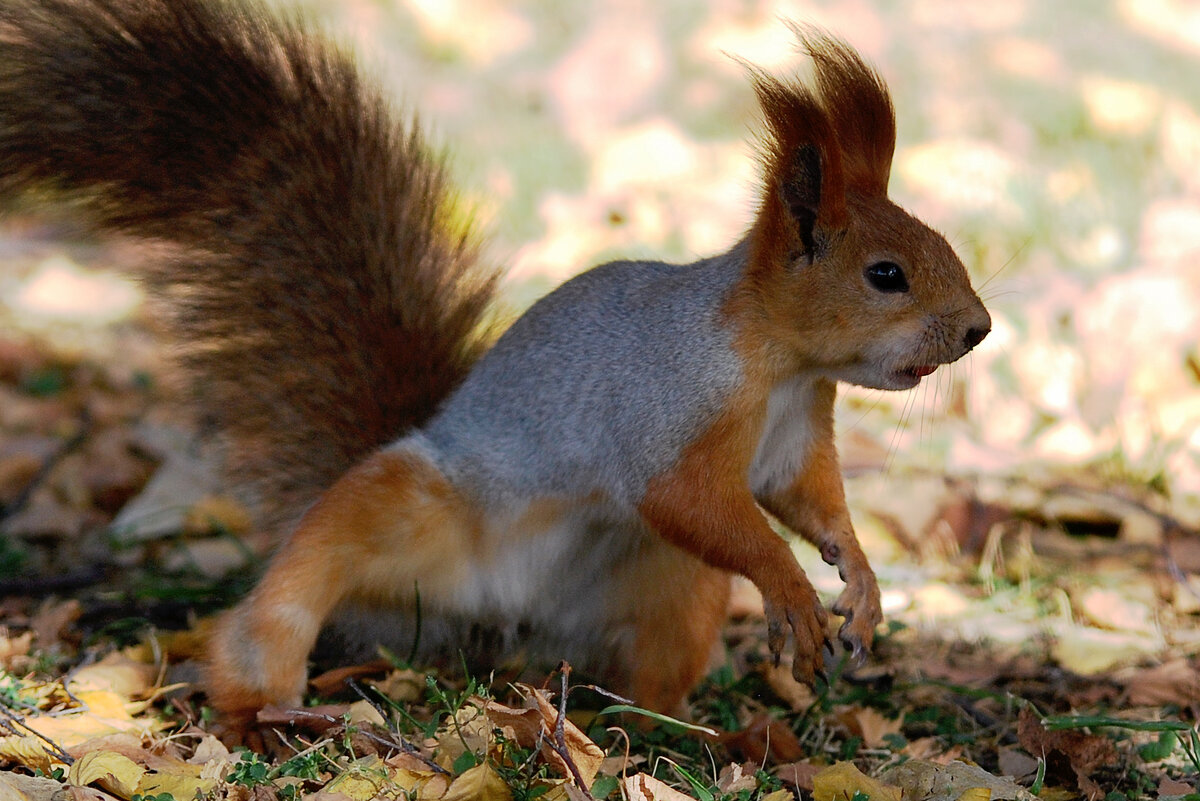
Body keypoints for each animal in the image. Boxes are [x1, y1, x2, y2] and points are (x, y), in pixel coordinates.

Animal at [0, 0, 988, 724]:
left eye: (943, 241)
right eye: (887, 274)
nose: (978, 329)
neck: (782, 367)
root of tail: (498, 623)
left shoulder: (796, 434)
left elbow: (811, 501)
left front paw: (859, 581)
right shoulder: (672, 405)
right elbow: (697, 502)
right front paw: (790, 584)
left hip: (671, 589)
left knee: (650, 670)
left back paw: (679, 731)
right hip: (407, 510)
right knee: (301, 581)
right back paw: (265, 701)